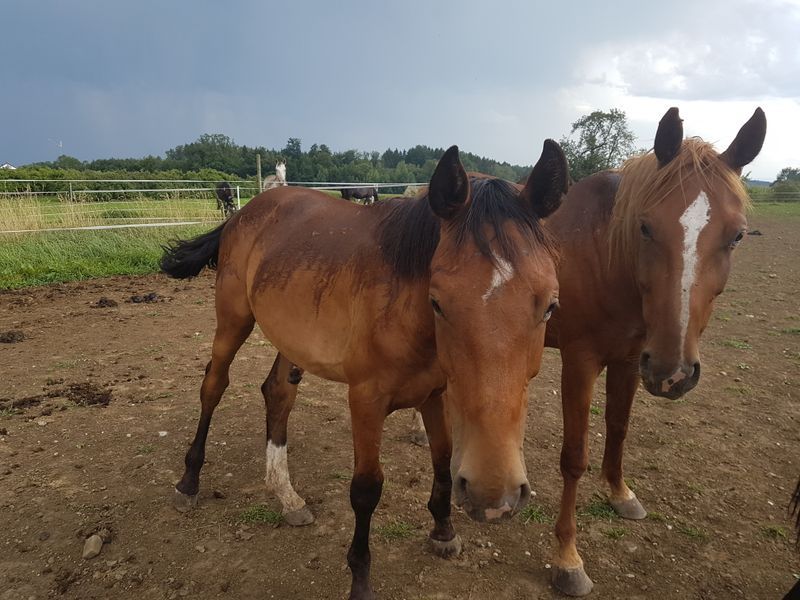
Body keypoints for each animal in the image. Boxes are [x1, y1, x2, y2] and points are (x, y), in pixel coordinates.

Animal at [158, 142, 568, 600]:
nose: (493, 494)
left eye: (550, 304)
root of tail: (247, 211)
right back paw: (189, 482)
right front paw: (360, 578)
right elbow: (367, 489)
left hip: (291, 338)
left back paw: (287, 497)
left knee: (278, 393)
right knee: (213, 386)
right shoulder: (366, 401)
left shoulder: (435, 395)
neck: (405, 311)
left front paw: (443, 531)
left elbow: (442, 460)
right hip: (233, 320)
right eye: (438, 302)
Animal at [540, 108, 764, 596]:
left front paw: (620, 494)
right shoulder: (579, 364)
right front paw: (567, 558)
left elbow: (619, 428)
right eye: (645, 227)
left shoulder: (628, 361)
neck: (604, 254)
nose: (673, 372)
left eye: (737, 236)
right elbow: (574, 457)